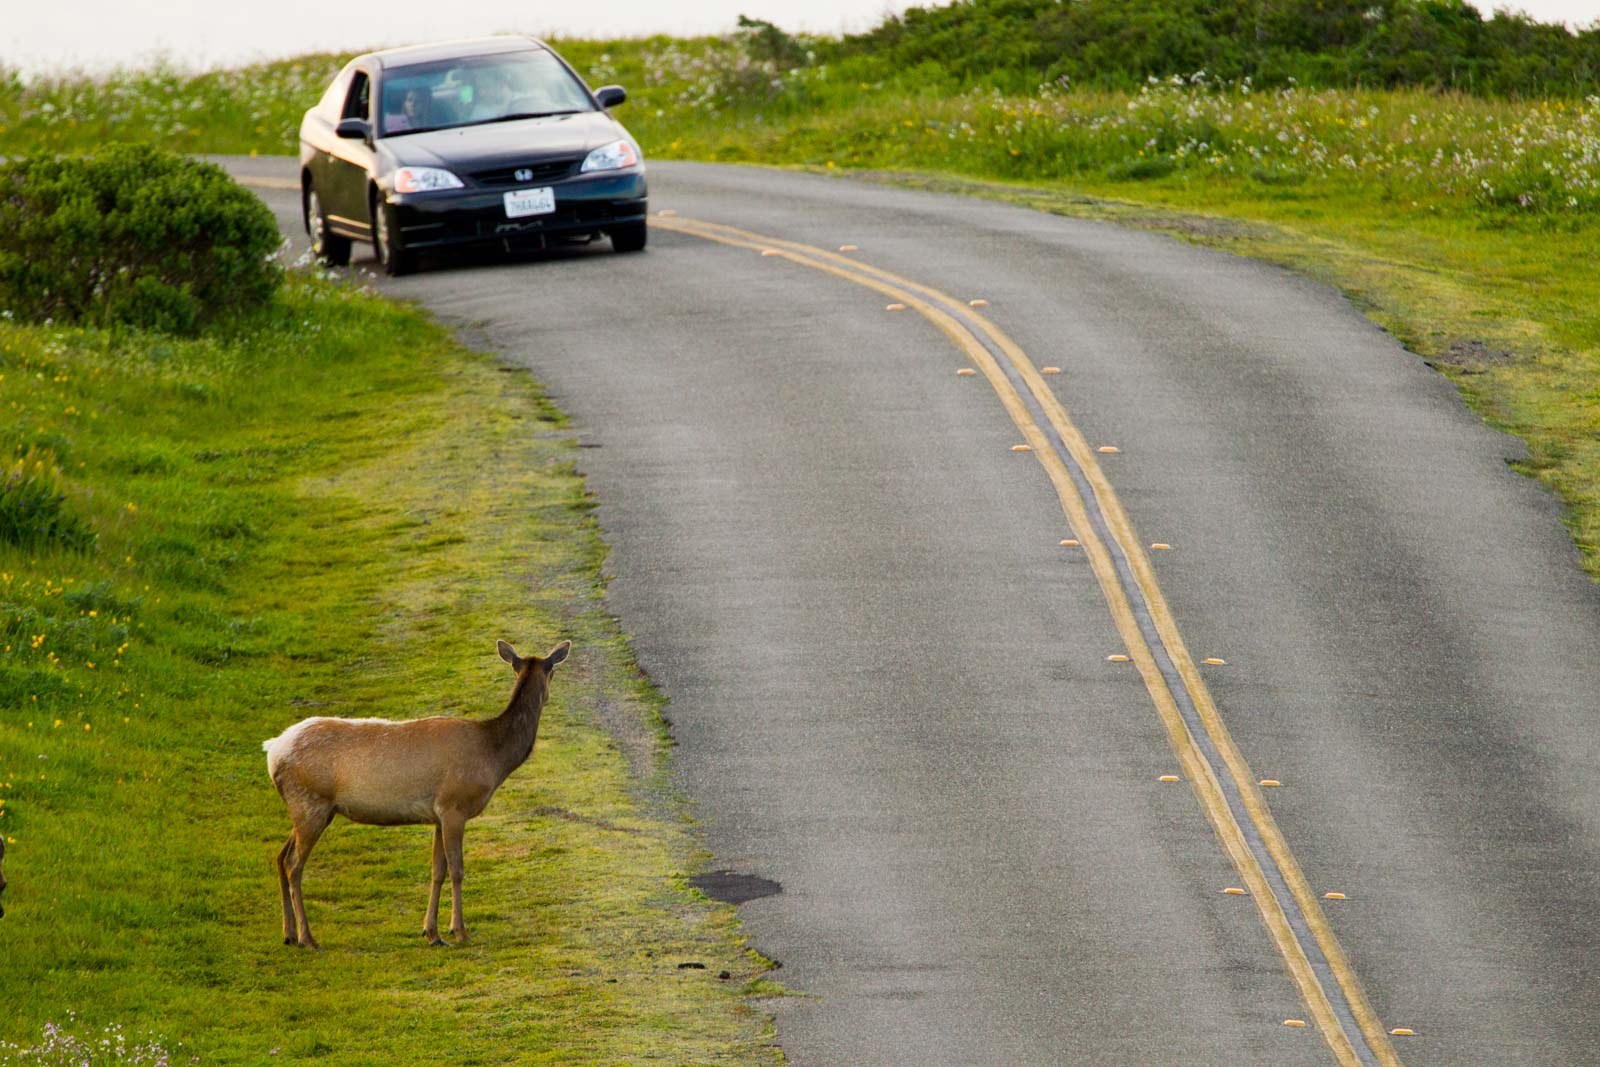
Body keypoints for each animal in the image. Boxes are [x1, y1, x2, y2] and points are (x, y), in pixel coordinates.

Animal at [259, 639, 566, 947]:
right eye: (552, 669)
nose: (549, 697)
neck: (493, 755)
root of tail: (273, 751)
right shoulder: (454, 805)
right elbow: (457, 870)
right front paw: (460, 931)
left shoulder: (438, 814)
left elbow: (437, 870)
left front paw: (432, 933)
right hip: (310, 802)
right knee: (294, 865)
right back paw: (307, 938)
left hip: (310, 809)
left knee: (280, 856)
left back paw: (288, 933)